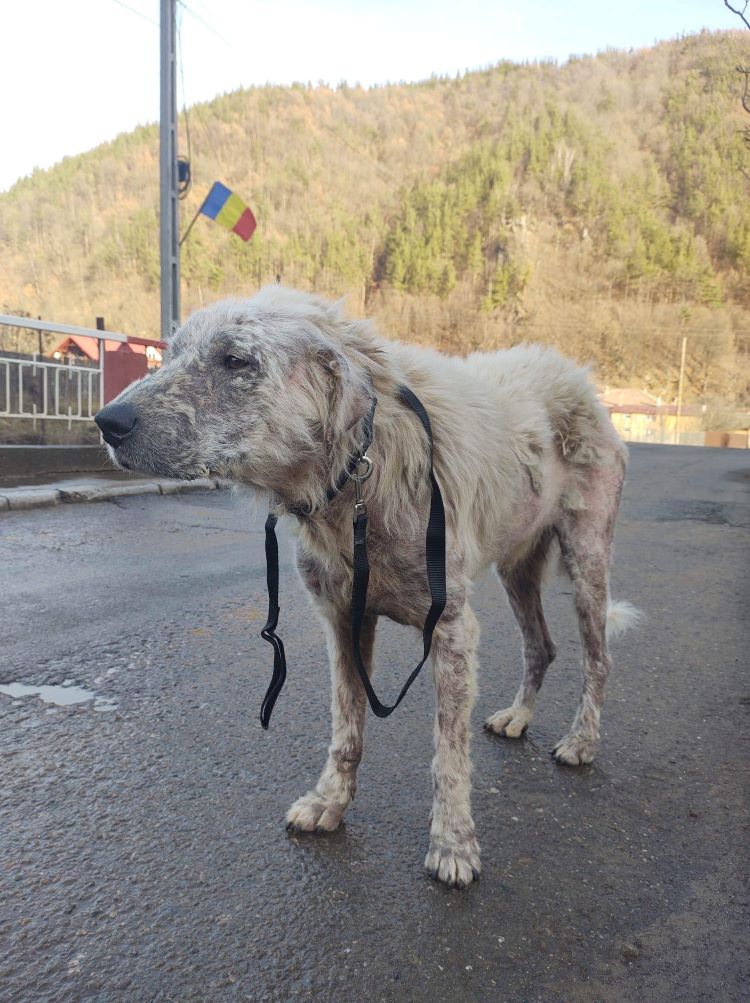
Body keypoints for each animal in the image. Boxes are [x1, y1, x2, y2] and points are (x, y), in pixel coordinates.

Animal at [93, 282, 637, 886]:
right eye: (171, 353)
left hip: (588, 560)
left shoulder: (452, 632)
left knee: (598, 660)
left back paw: (581, 741)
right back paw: (519, 717)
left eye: (235, 360)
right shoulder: (342, 623)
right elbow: (346, 728)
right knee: (541, 645)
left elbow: (449, 755)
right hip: (517, 568)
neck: (358, 481)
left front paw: (453, 843)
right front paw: (329, 802)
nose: (107, 421)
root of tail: (574, 373)